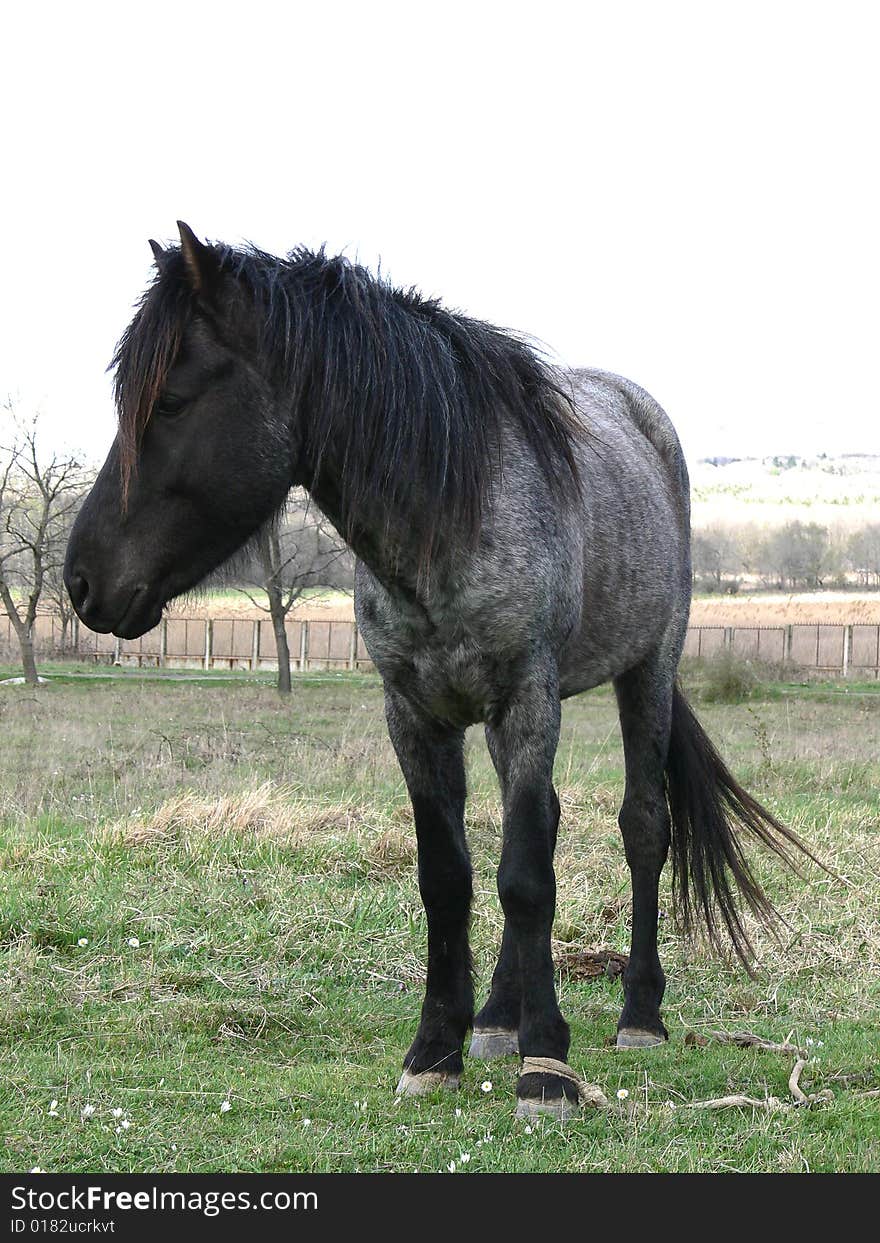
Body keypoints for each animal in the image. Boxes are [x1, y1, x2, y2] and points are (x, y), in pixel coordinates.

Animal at [65, 221, 815, 1118]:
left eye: (172, 401)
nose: (81, 581)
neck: (449, 514)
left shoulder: (526, 699)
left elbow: (525, 877)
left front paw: (547, 1066)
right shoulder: (416, 714)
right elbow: (451, 876)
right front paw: (438, 1048)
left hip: (647, 670)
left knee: (641, 826)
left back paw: (638, 1013)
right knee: (544, 824)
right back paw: (499, 1016)